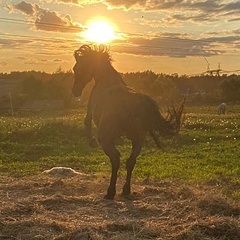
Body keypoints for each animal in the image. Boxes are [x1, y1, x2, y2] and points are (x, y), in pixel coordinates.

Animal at [72, 44, 185, 199]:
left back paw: (110, 192)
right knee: (130, 161)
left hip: (107, 139)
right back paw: (126, 190)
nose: (75, 91)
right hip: (138, 139)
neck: (106, 80)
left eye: (77, 68)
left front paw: (92, 142)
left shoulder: (90, 113)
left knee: (116, 158)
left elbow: (87, 123)